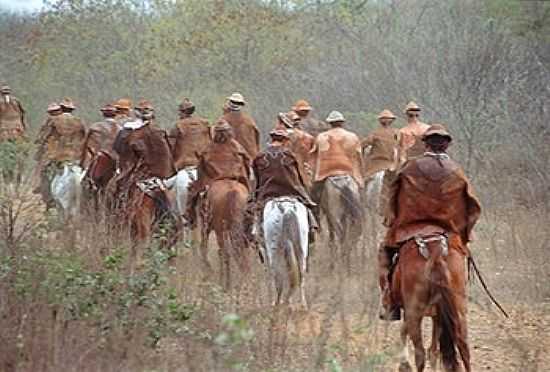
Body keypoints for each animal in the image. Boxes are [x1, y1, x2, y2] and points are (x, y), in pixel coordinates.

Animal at [392, 231, 470, 370]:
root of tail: (435, 255)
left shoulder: (410, 313)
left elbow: (403, 332)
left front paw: (404, 364)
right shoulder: (437, 316)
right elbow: (434, 351)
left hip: (415, 314)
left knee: (420, 354)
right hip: (458, 310)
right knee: (463, 347)